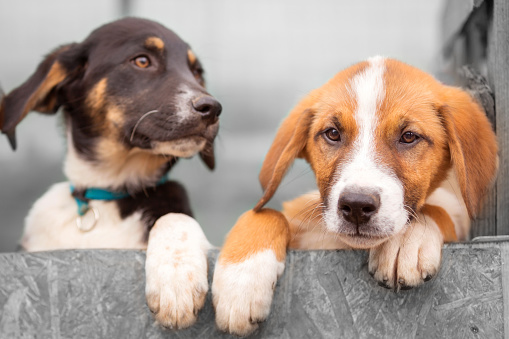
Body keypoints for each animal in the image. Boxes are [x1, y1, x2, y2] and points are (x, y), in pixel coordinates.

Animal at [210, 57, 496, 336]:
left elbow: (436, 210)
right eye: (333, 133)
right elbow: (263, 212)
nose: (357, 205)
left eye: (408, 136)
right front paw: (241, 281)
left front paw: (406, 239)